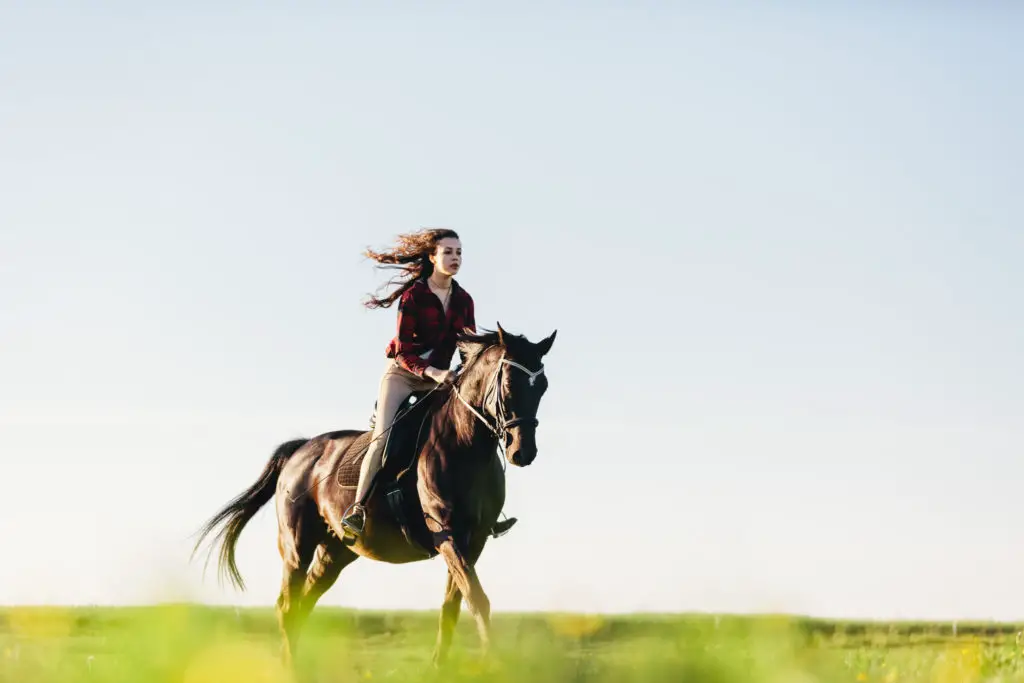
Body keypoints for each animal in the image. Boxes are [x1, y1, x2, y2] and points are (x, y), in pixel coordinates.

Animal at [192, 325, 561, 667]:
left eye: (542, 386)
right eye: (509, 384)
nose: (522, 452)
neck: (465, 446)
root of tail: (300, 450)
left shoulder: (476, 539)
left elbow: (455, 604)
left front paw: (440, 666)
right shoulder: (447, 533)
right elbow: (477, 598)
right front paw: (492, 663)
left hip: (335, 552)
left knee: (304, 602)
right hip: (297, 546)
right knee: (287, 606)